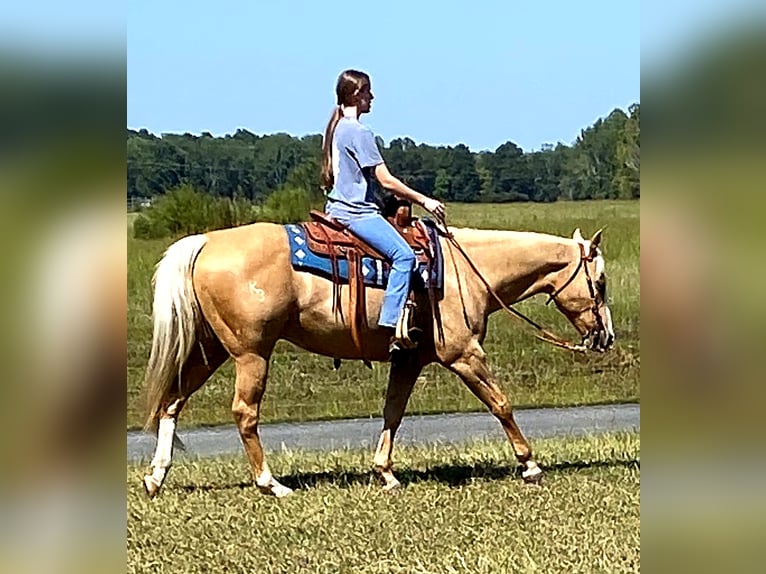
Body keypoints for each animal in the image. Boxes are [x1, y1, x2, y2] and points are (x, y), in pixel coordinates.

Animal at [141, 221, 614, 498]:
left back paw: (155, 477)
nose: (605, 337)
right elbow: (501, 404)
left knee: (172, 401)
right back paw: (271, 484)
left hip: (212, 349)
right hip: (251, 353)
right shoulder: (463, 354)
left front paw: (385, 473)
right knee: (244, 412)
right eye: (601, 283)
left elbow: (393, 411)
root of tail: (206, 241)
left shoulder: (409, 360)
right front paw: (530, 465)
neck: (466, 269)